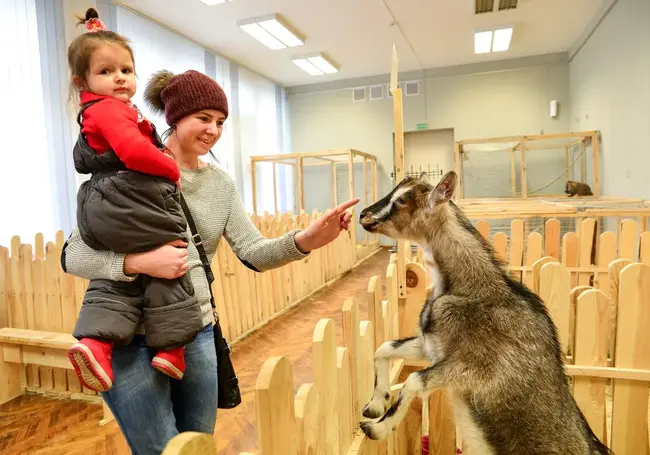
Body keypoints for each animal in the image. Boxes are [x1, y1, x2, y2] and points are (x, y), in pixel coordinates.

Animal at [354, 172, 608, 455]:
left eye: (402, 200)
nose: (363, 215)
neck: (471, 287)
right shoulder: (432, 347)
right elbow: (384, 347)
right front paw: (374, 405)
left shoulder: (475, 368)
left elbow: (414, 379)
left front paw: (376, 427)